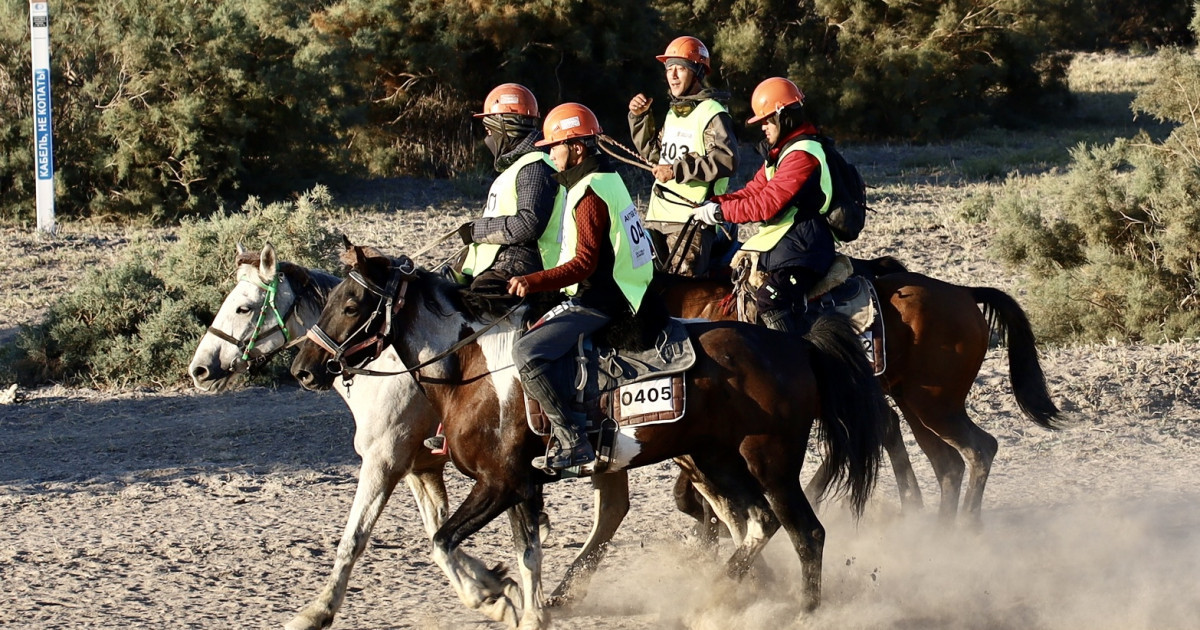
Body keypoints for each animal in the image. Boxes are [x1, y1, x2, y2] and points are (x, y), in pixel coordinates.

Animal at [187, 243, 520, 628]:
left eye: (244, 307)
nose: (200, 369)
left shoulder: (383, 462)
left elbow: (355, 538)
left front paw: (317, 611)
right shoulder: (419, 467)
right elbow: (437, 528)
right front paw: (490, 588)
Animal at [288, 242, 892, 628]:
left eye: (351, 304)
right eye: (329, 301)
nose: (303, 368)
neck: (472, 369)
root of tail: (795, 345)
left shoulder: (496, 481)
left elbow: (441, 541)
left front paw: (491, 596)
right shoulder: (521, 485)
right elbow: (526, 553)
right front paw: (524, 608)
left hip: (771, 462)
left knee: (805, 533)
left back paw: (800, 611)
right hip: (713, 460)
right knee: (756, 525)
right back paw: (716, 595)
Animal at [662, 255, 1065, 525]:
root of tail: (963, 292)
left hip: (935, 405)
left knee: (980, 448)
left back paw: (964, 523)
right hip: (915, 404)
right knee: (947, 463)